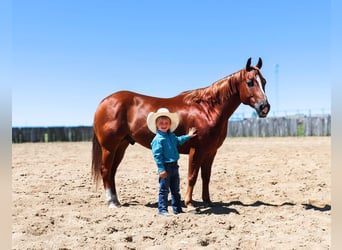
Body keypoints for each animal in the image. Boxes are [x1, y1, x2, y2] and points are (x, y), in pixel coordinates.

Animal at [92, 57, 272, 209]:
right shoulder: (196, 150)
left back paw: (116, 200)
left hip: (121, 146)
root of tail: (105, 101)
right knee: (106, 170)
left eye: (263, 82)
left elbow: (206, 176)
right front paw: (189, 203)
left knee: (112, 171)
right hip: (109, 147)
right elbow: (192, 176)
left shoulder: (210, 152)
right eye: (250, 82)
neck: (207, 109)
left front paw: (208, 201)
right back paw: (112, 202)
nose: (265, 107)